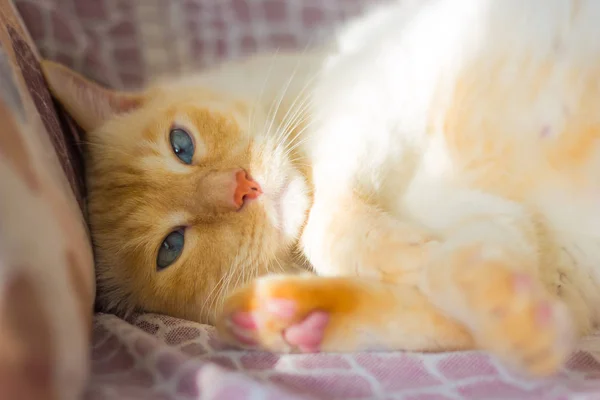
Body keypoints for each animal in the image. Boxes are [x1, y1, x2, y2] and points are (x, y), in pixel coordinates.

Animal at [43, 0, 600, 378]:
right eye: (170, 248)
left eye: (181, 145)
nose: (242, 189)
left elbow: (326, 222)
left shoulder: (370, 107)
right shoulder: (533, 250)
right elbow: (467, 282)